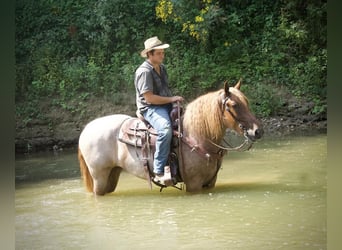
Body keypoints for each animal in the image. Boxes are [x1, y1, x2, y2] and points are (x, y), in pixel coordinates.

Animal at [78, 80, 264, 195]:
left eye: (246, 102)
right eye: (234, 105)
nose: (257, 131)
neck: (197, 136)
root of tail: (86, 130)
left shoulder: (209, 183)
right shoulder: (194, 184)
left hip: (112, 174)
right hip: (99, 176)